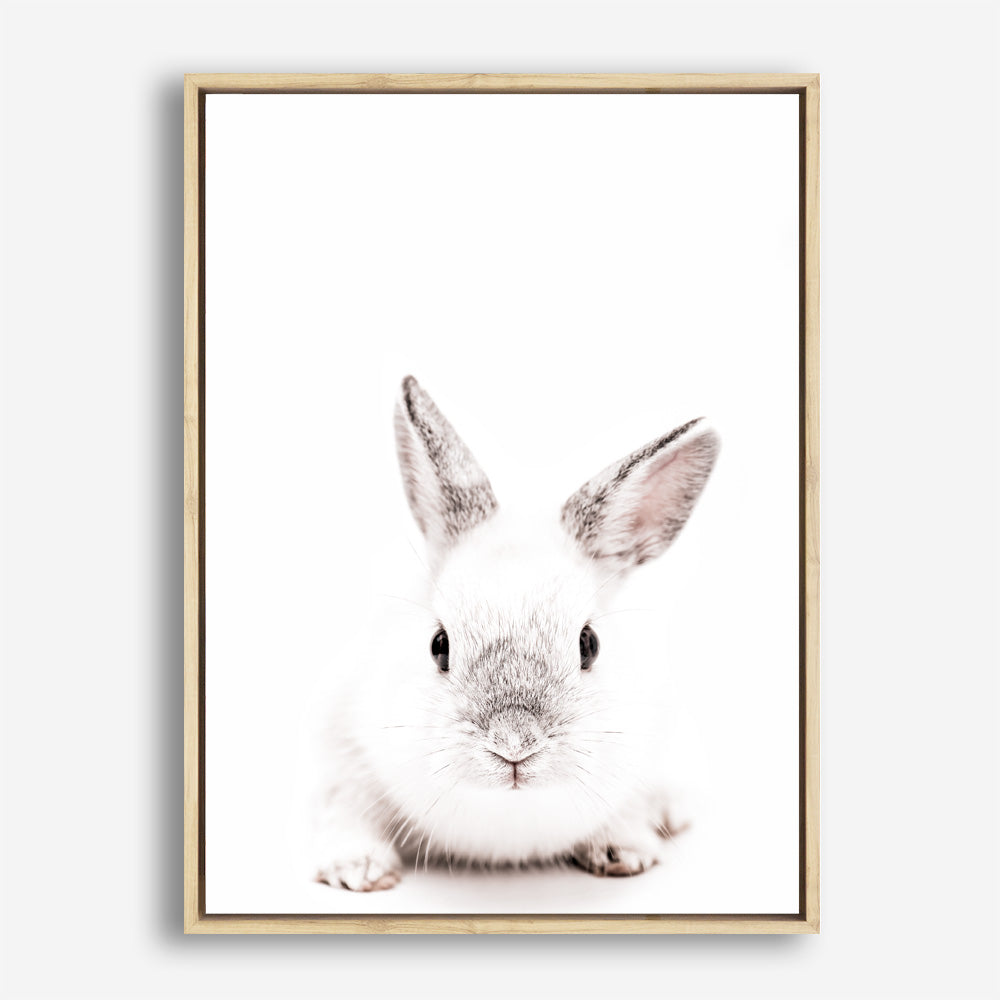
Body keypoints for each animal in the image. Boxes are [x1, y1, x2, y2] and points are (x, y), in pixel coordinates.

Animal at [308, 375, 719, 891]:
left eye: (589, 644)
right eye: (438, 646)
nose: (514, 743)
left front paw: (623, 851)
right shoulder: (341, 757)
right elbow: (342, 811)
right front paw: (358, 870)